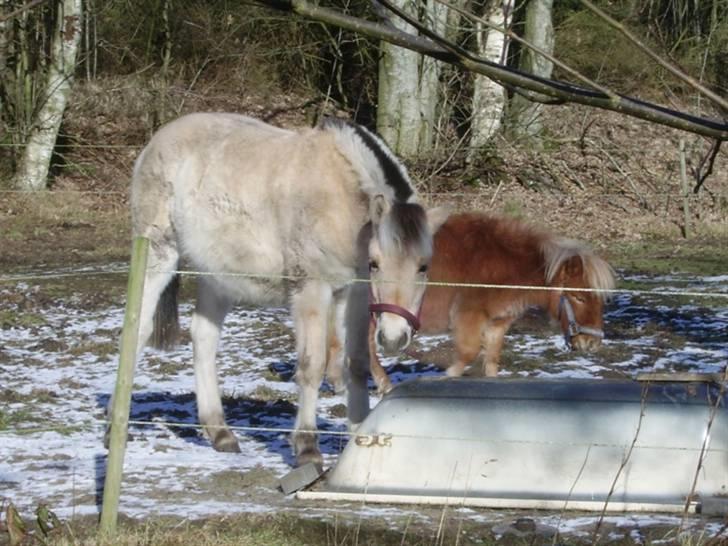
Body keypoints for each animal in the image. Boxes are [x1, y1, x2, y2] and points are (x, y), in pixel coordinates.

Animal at [118, 111, 444, 464]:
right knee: (137, 332)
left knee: (203, 339)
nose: (394, 337)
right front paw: (306, 447)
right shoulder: (311, 290)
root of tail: (155, 142)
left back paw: (220, 433)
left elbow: (356, 363)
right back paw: (116, 428)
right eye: (376, 264)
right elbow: (312, 365)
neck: (339, 198)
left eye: (423, 266)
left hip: (216, 274)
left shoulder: (354, 293)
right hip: (157, 255)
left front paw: (359, 436)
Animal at [364, 210, 616, 394]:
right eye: (579, 297)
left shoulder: (497, 324)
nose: (592, 343)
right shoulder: (469, 318)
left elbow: (492, 360)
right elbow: (468, 354)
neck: (505, 265)